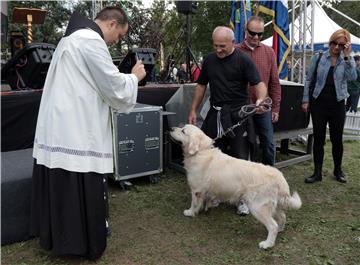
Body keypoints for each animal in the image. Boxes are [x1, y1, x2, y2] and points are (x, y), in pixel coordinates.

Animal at [170, 124, 302, 248]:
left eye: (183, 131)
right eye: (181, 127)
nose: (171, 128)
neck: (201, 151)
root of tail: (279, 177)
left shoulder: (196, 189)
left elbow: (194, 203)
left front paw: (190, 212)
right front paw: (208, 206)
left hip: (258, 206)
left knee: (272, 225)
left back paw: (267, 244)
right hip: (275, 205)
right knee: (283, 217)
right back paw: (280, 230)